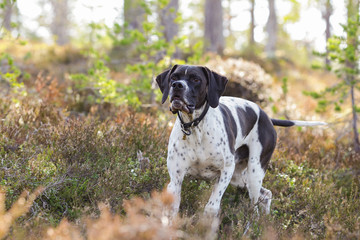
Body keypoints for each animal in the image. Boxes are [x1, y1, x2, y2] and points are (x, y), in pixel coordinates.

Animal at [156, 64, 324, 224]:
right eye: (173, 77)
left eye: (196, 79)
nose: (177, 85)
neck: (196, 128)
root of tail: (267, 117)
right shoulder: (176, 179)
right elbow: (172, 209)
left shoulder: (225, 171)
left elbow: (211, 207)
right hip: (241, 177)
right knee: (266, 194)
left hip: (254, 172)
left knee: (256, 205)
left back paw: (255, 226)